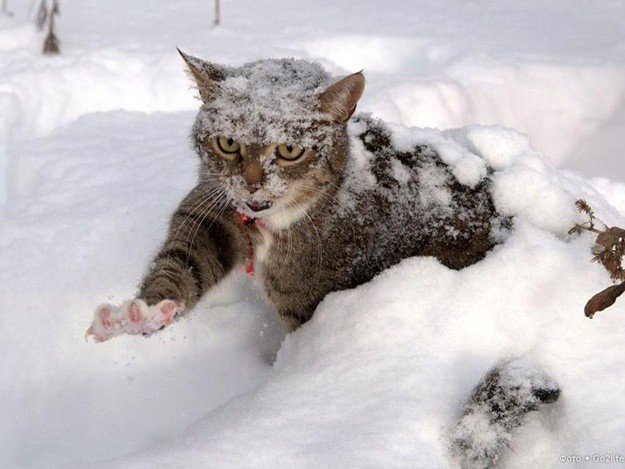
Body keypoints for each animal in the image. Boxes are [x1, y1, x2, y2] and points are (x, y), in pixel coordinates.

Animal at [85, 52, 560, 468]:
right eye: (228, 143)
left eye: (290, 150)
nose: (252, 185)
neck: (271, 225)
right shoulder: (212, 214)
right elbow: (183, 264)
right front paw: (137, 315)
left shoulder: (309, 297)